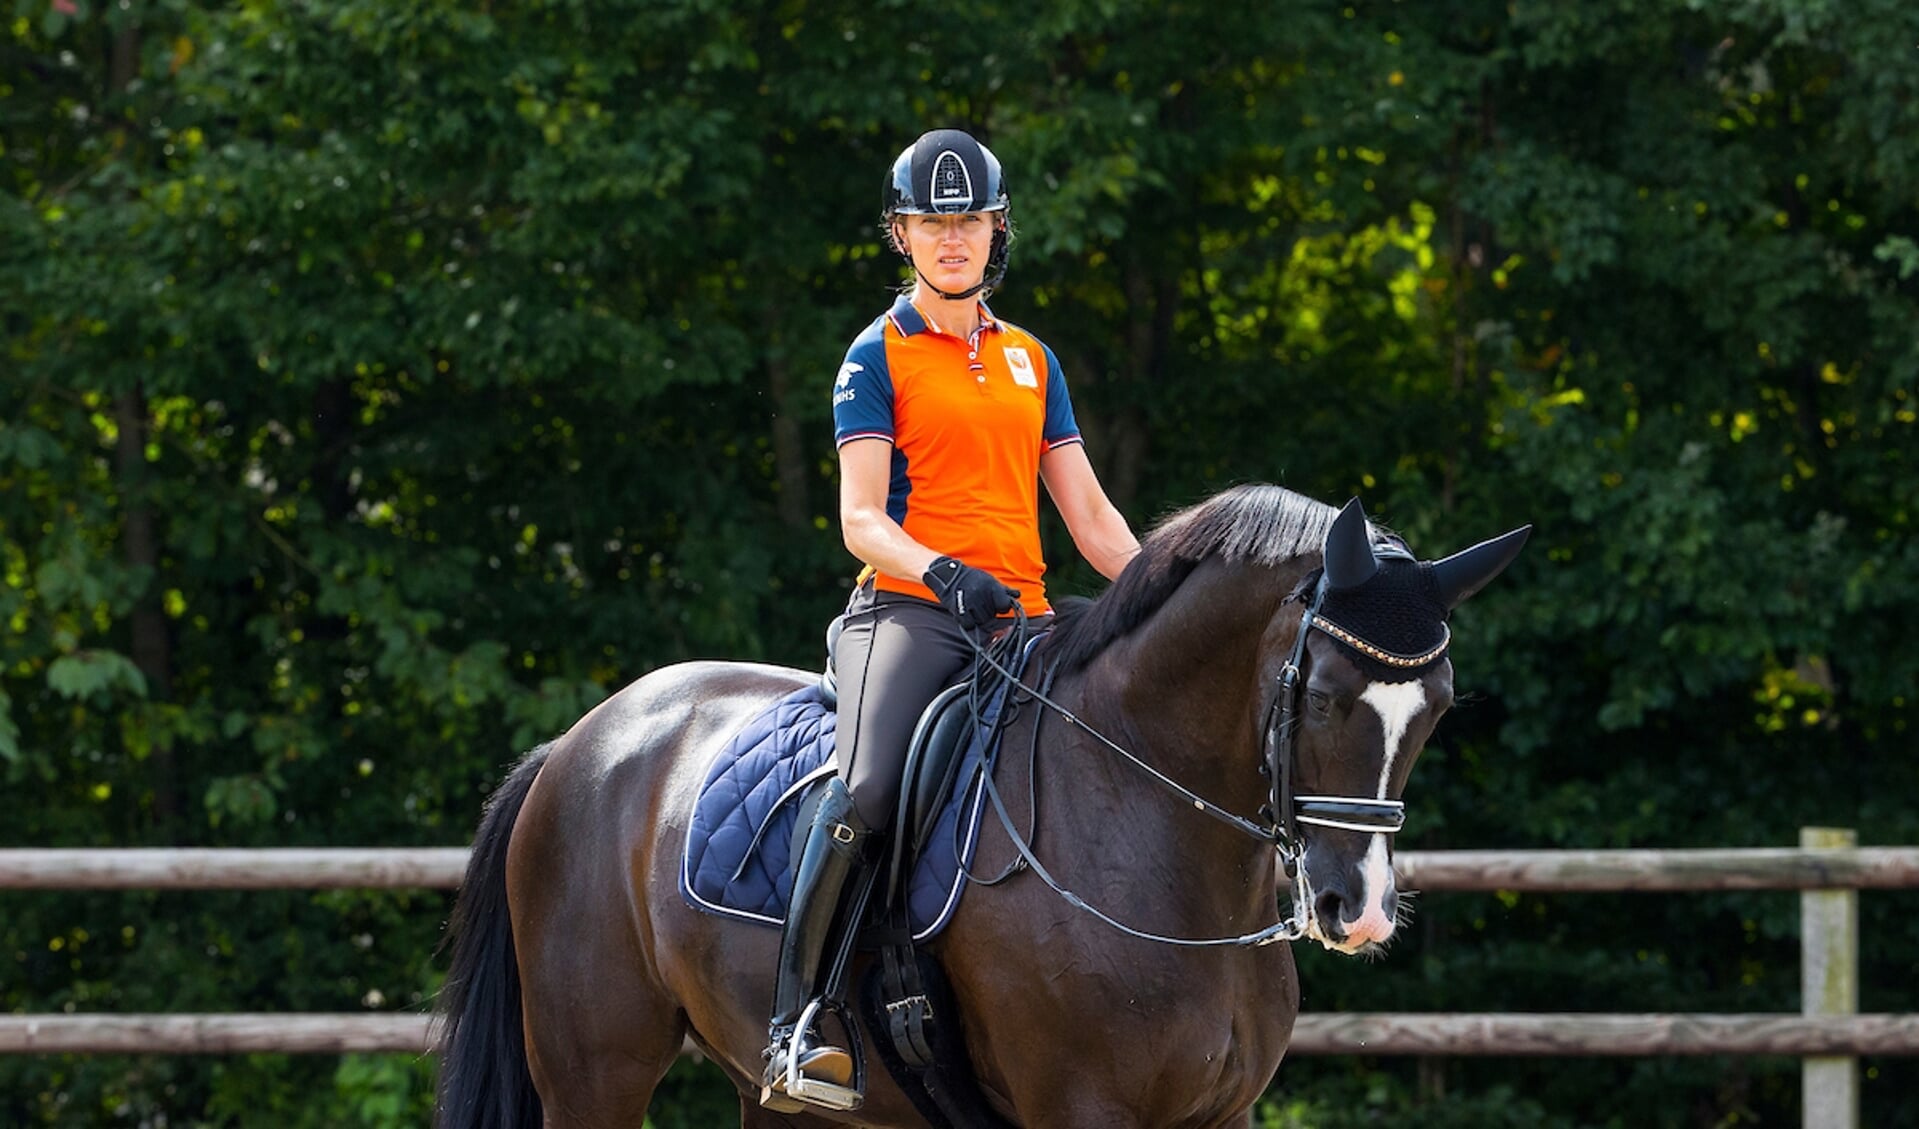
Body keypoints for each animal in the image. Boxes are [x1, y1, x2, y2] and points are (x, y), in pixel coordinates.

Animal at [435, 480, 1527, 1121]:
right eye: (1327, 694)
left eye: (1435, 707)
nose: (1360, 908)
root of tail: (581, 741)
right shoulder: (1079, 1110)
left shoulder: (1216, 1114)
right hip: (594, 1066)